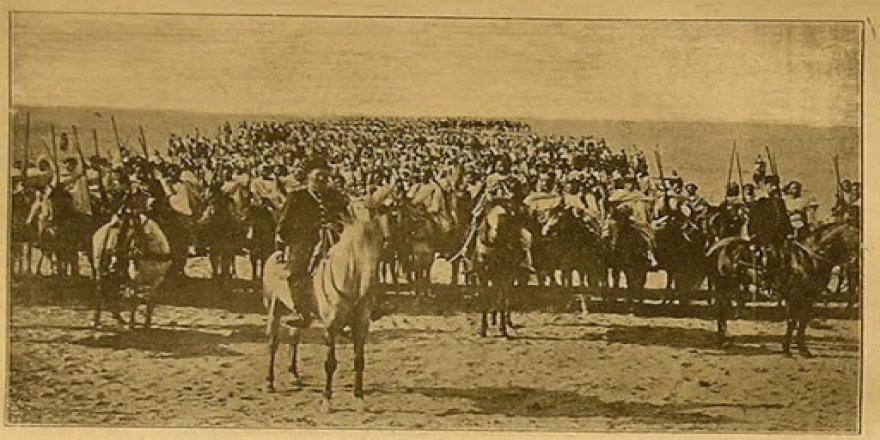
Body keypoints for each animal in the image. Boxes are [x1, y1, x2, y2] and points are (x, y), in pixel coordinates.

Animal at [258, 198, 388, 410]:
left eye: (381, 240)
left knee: (294, 337)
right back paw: (269, 382)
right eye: (358, 243)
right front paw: (327, 399)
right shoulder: (331, 326)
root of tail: (274, 256)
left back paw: (294, 375)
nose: (369, 286)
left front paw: (359, 397)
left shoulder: (361, 324)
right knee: (273, 343)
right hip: (273, 308)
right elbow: (330, 362)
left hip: (301, 316)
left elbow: (359, 360)